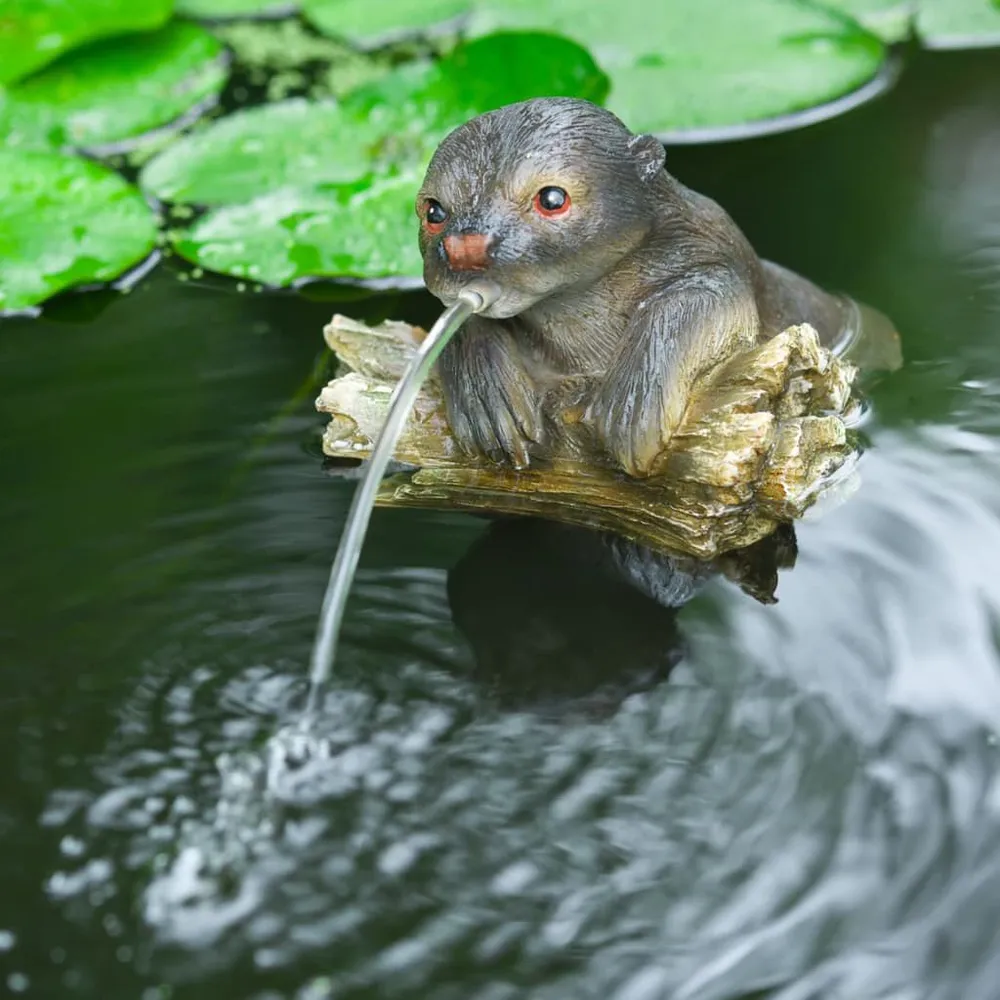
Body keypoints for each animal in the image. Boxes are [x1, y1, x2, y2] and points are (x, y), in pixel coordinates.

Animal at [416, 97, 878, 477]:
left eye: (551, 199)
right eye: (433, 211)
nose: (464, 247)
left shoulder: (718, 258)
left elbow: (700, 294)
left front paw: (633, 403)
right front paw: (485, 392)